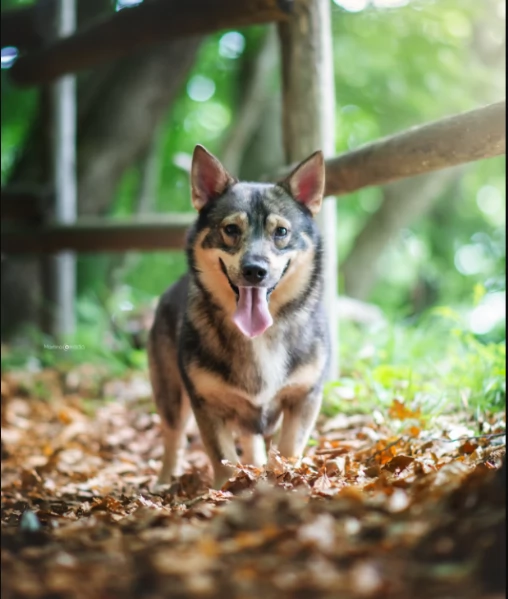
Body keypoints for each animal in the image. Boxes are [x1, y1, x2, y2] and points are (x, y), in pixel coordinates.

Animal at [148, 144, 330, 488]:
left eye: (281, 232)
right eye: (231, 230)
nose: (254, 271)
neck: (259, 337)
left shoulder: (304, 396)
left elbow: (288, 449)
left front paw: (282, 480)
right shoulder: (206, 404)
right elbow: (224, 461)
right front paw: (228, 490)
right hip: (171, 396)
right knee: (173, 439)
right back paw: (165, 480)